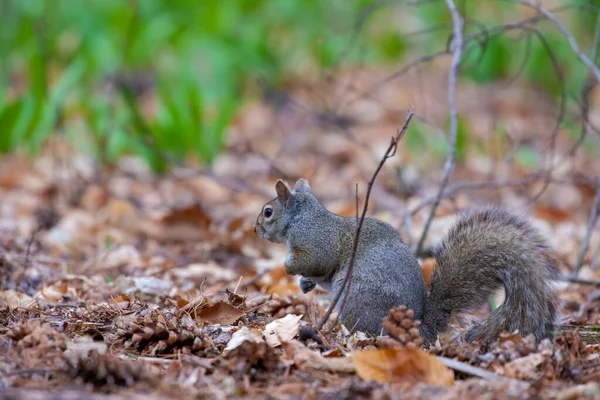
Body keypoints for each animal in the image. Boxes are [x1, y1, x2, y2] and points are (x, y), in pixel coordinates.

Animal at [255, 178, 560, 344]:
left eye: (268, 212)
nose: (255, 230)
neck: (300, 218)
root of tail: (418, 329)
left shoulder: (316, 243)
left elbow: (316, 261)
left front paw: (288, 266)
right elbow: (318, 276)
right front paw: (305, 284)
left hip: (356, 297)